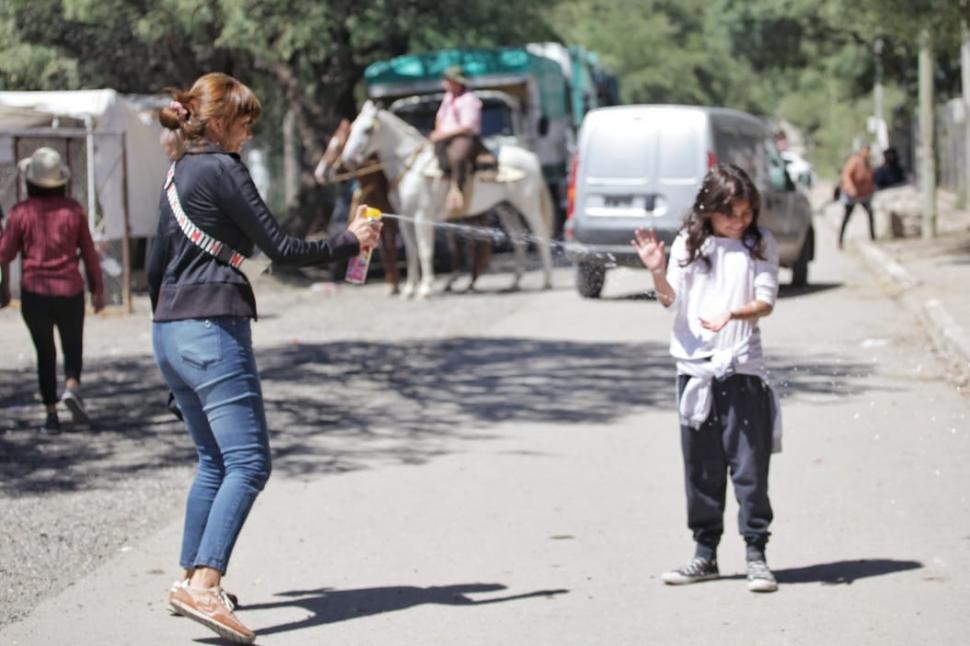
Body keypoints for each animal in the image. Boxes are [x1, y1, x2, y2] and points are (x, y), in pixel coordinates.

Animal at [340, 102, 552, 302]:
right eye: (353, 127)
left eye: (367, 129)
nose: (347, 158)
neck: (409, 167)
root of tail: (531, 157)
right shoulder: (405, 219)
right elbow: (411, 253)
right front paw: (409, 290)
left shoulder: (422, 216)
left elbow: (425, 250)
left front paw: (425, 289)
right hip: (506, 208)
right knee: (518, 239)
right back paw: (515, 282)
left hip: (527, 205)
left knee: (541, 235)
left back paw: (547, 281)